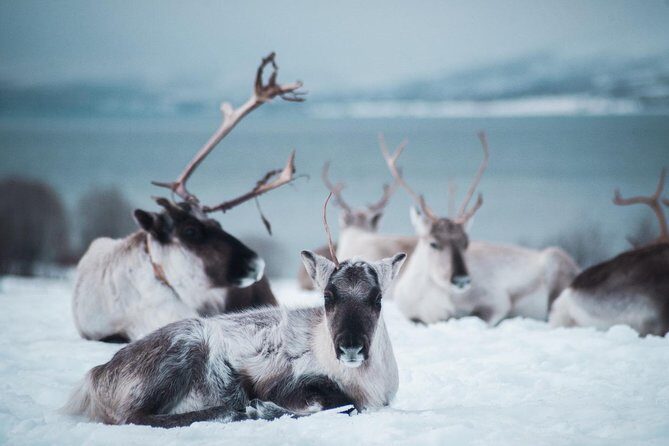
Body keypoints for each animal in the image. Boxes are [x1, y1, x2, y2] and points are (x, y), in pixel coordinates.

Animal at [65, 193, 407, 428]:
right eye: (328, 296)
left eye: (377, 298)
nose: (351, 347)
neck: (366, 382)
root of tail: (95, 375)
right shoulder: (287, 382)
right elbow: (341, 403)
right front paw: (263, 408)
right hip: (181, 353)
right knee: (134, 417)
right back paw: (236, 410)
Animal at [383, 132, 579, 325]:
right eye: (433, 243)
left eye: (465, 243)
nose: (461, 279)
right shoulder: (411, 313)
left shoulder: (496, 301)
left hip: (555, 266)